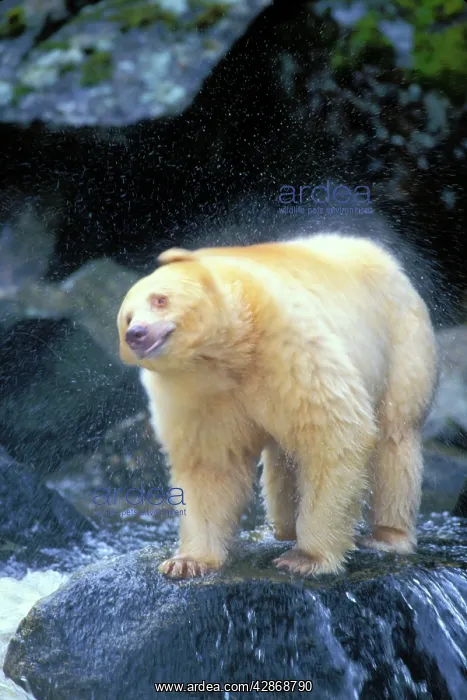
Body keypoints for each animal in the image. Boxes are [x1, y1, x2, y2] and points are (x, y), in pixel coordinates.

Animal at [117, 234, 438, 579]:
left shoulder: (287, 345)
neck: (233, 350)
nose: (136, 333)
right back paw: (284, 528)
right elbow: (210, 465)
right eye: (127, 317)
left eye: (160, 299)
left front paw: (307, 557)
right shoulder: (195, 395)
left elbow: (333, 435)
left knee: (396, 436)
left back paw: (388, 535)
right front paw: (187, 561)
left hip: (401, 341)